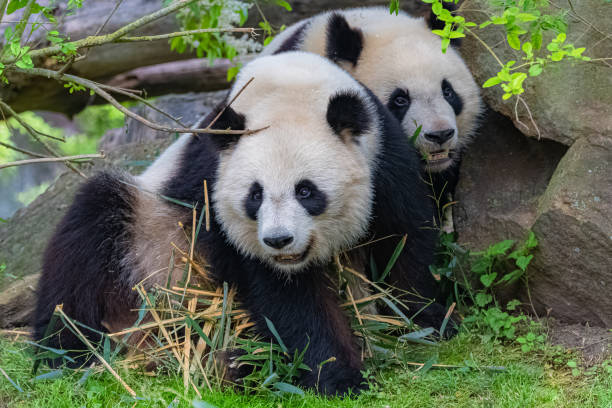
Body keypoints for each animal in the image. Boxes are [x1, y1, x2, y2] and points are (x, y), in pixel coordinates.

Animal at [32, 51, 426, 396]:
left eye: (305, 191)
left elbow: (402, 240)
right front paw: (339, 376)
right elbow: (286, 296)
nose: (279, 240)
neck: (288, 88)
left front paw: (423, 320)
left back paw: (241, 363)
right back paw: (67, 352)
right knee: (86, 240)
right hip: (146, 238)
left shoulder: (384, 154)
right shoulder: (216, 186)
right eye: (255, 195)